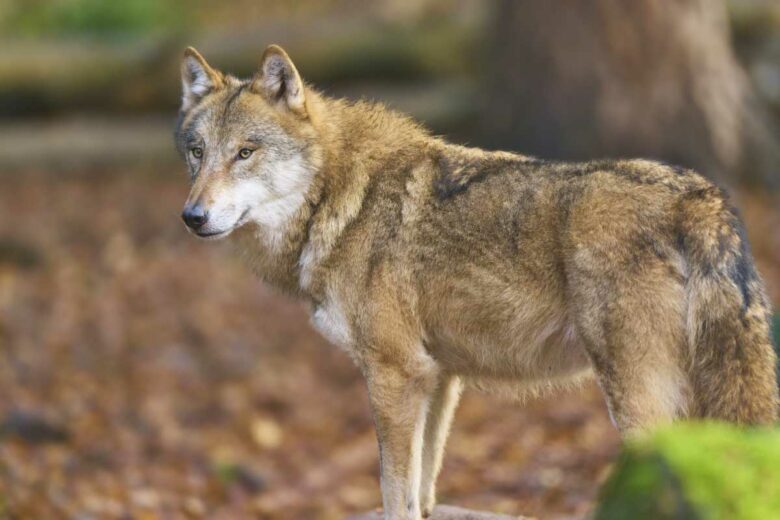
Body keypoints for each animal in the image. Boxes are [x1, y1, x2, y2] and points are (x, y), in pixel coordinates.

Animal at [175, 45, 778, 519]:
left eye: (245, 153)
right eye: (197, 153)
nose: (192, 217)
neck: (339, 200)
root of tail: (701, 197)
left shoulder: (395, 374)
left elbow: (393, 488)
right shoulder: (438, 378)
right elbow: (423, 489)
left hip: (638, 400)